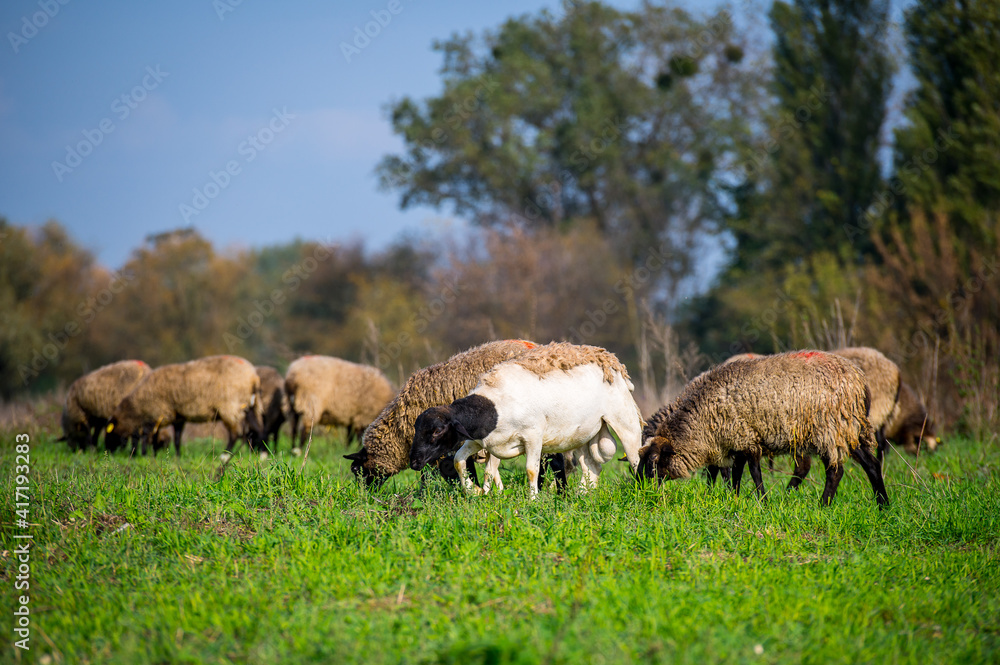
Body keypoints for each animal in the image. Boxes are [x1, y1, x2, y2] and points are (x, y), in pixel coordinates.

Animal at [107, 352, 264, 456]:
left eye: (111, 432)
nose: (110, 451)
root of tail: (253, 377)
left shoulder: (158, 413)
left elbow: (147, 435)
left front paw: (146, 454)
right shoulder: (177, 416)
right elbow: (176, 438)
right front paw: (175, 456)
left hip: (230, 406)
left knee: (235, 433)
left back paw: (225, 454)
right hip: (250, 406)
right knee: (258, 428)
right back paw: (260, 453)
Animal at [410, 342, 644, 498]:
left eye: (437, 430)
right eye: (416, 428)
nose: (414, 463)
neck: (493, 407)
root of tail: (612, 361)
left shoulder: (533, 436)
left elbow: (532, 470)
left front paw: (533, 500)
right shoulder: (478, 441)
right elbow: (461, 462)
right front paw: (474, 491)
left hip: (625, 422)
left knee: (635, 459)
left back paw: (642, 493)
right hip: (583, 434)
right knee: (592, 467)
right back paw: (581, 496)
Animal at [636, 350, 888, 506]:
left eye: (654, 460)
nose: (639, 488)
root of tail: (860, 380)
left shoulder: (745, 437)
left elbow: (752, 472)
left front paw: (762, 501)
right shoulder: (734, 440)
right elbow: (734, 474)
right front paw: (733, 498)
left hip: (830, 429)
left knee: (835, 471)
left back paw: (823, 505)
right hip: (848, 429)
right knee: (872, 464)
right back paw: (883, 506)